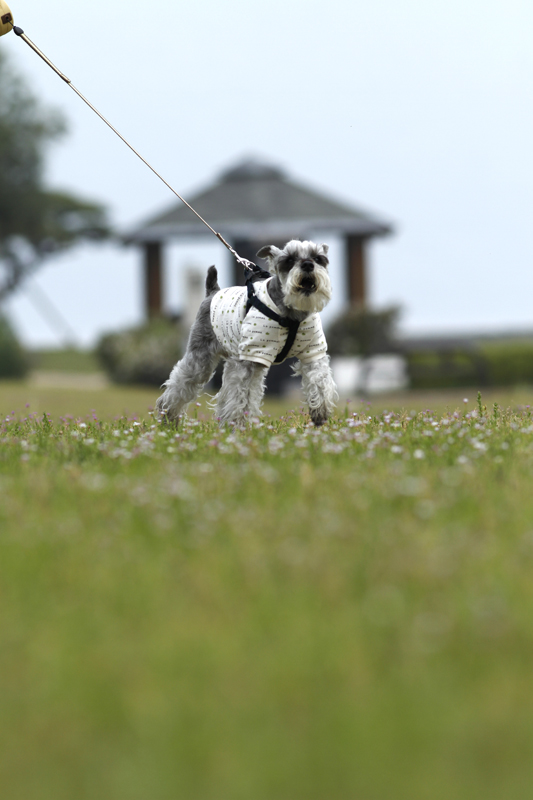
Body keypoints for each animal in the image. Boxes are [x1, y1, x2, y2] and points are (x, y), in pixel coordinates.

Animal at [155, 238, 336, 424]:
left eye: (318, 258)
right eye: (290, 260)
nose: (308, 265)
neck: (292, 314)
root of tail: (213, 292)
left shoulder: (313, 352)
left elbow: (319, 379)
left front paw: (320, 412)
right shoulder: (249, 358)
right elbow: (242, 394)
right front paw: (237, 423)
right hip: (201, 359)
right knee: (181, 384)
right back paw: (168, 415)